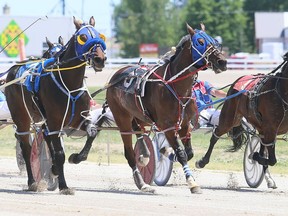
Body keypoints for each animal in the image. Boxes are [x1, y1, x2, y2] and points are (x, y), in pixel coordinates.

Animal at [5, 15, 106, 194]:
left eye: (99, 35)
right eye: (83, 37)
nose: (100, 59)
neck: (69, 83)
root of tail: (14, 68)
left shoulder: (78, 119)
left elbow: (92, 133)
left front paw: (75, 157)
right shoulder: (54, 122)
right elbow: (59, 153)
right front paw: (64, 186)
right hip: (21, 116)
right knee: (26, 146)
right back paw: (32, 182)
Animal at [89, 22, 226, 193]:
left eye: (214, 40)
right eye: (200, 42)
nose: (222, 61)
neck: (175, 85)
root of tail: (117, 75)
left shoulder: (184, 124)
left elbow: (189, 153)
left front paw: (167, 152)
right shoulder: (167, 126)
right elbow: (181, 153)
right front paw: (192, 182)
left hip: (138, 115)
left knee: (138, 131)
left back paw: (145, 155)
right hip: (122, 118)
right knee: (129, 152)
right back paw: (142, 183)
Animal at [196, 51, 288, 188]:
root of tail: (238, 80)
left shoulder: (269, 129)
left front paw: (257, 158)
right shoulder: (271, 128)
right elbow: (271, 159)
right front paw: (255, 156)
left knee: (262, 143)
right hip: (229, 118)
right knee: (215, 135)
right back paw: (202, 161)